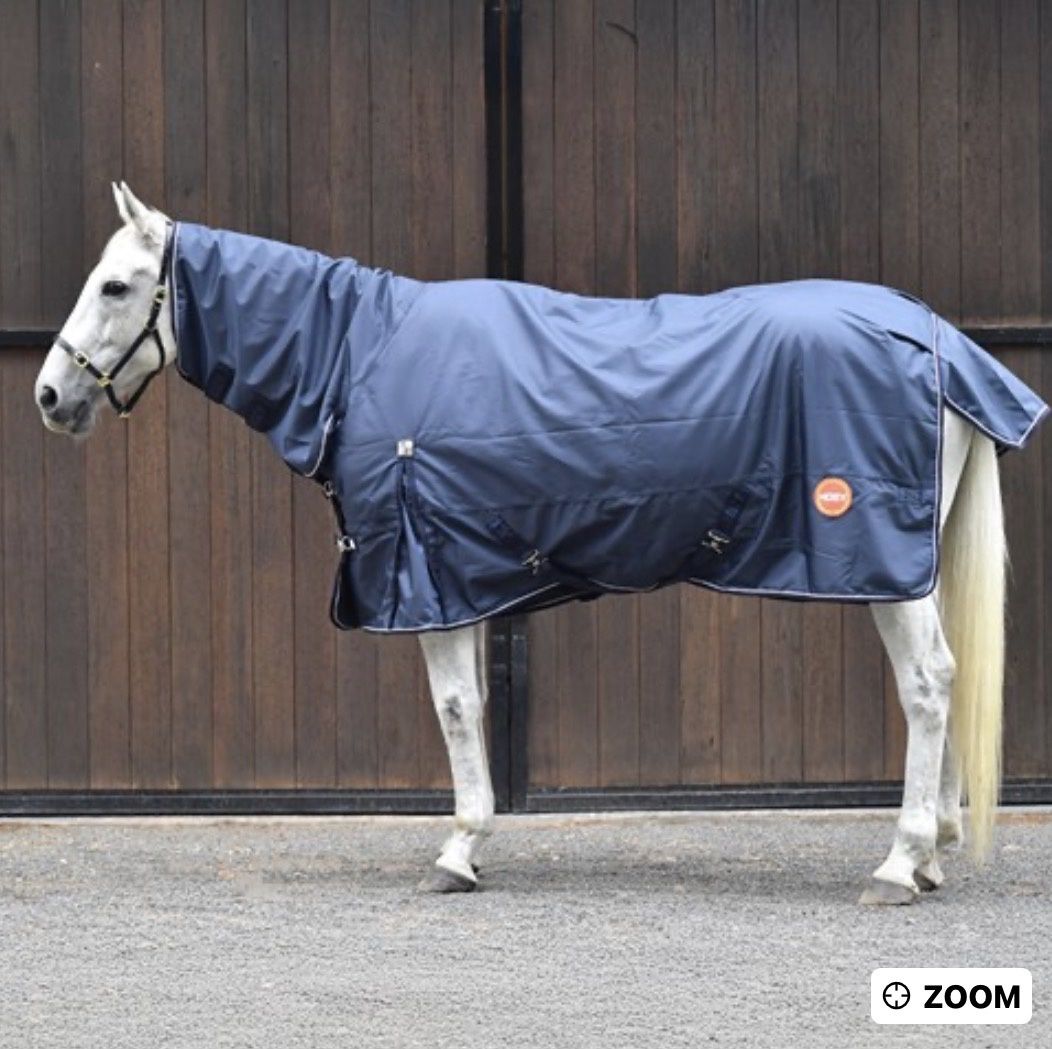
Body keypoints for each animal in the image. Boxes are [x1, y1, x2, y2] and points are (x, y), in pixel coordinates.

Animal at [35, 183, 1047, 904]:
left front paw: (458, 849)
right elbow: (475, 705)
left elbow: (453, 710)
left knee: (927, 686)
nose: (49, 396)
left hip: (882, 564)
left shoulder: (428, 575)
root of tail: (938, 339)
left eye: (116, 286)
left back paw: (899, 863)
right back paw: (932, 856)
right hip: (911, 566)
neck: (362, 351)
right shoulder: (465, 576)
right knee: (945, 679)